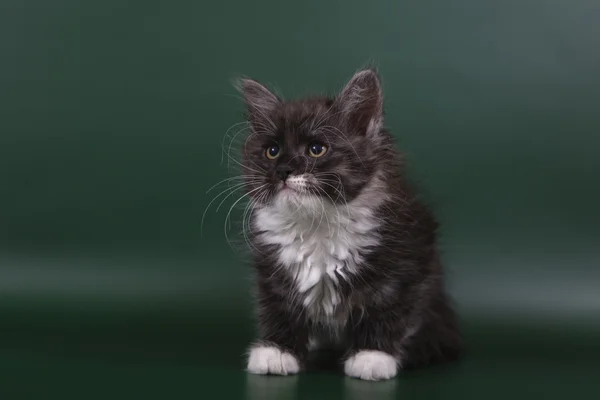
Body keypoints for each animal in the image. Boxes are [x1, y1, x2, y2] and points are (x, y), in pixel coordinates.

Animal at [233, 69, 460, 382]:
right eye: (272, 151)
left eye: (316, 149)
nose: (283, 170)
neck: (317, 223)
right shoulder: (273, 268)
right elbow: (278, 306)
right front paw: (277, 351)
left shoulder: (410, 257)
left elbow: (389, 307)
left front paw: (373, 356)